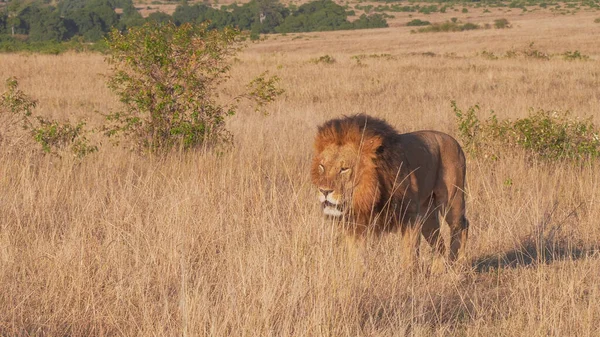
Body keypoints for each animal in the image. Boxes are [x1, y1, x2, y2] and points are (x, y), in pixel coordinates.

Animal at [312, 114, 472, 266]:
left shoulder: (410, 218)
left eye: (344, 169)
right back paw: (438, 270)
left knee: (461, 227)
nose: (324, 191)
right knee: (439, 243)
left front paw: (407, 275)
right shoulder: (355, 225)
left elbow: (409, 257)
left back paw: (456, 265)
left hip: (452, 200)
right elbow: (356, 259)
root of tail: (454, 141)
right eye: (322, 167)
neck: (369, 195)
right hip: (428, 213)